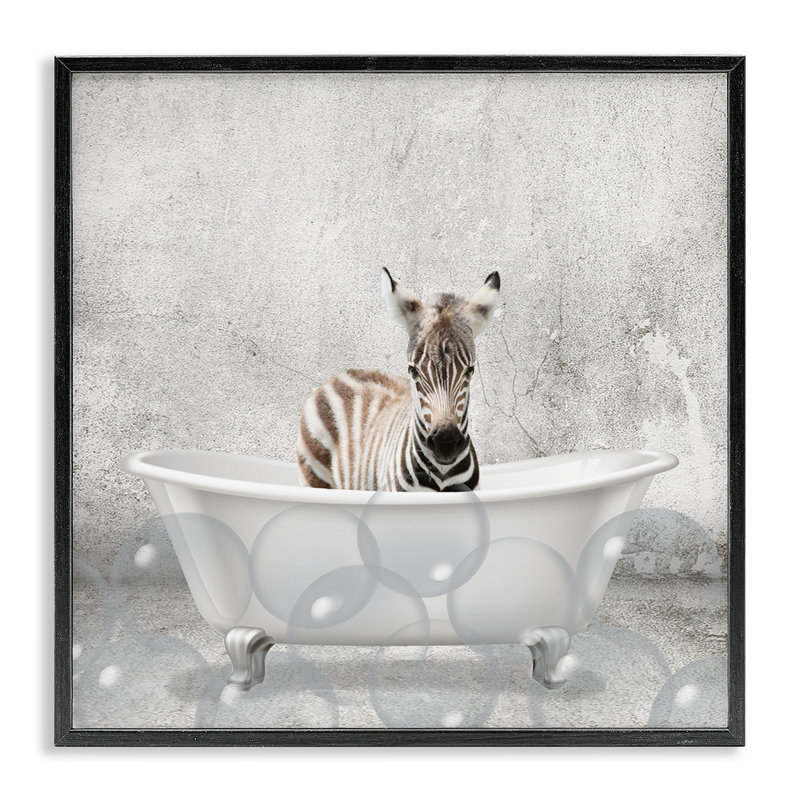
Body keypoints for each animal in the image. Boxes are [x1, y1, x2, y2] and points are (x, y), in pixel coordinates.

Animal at [296, 269, 500, 492]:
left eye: (470, 370)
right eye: (413, 370)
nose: (445, 443)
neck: (442, 475)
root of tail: (339, 374)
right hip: (314, 475)